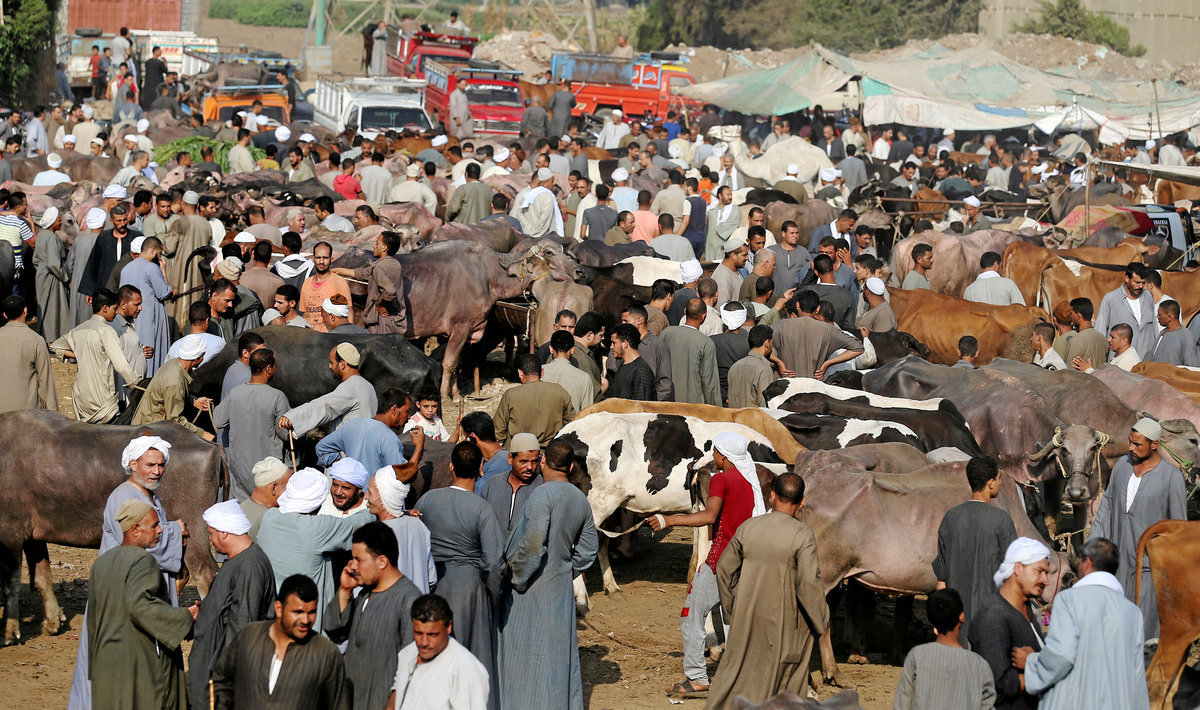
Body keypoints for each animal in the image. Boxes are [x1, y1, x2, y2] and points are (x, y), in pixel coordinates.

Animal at [0, 407, 224, 647]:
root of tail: (211, 447)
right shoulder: (34, 536)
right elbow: (42, 577)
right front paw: (51, 623)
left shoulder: (10, 532)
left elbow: (11, 583)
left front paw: (8, 632)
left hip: (195, 534)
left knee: (206, 574)